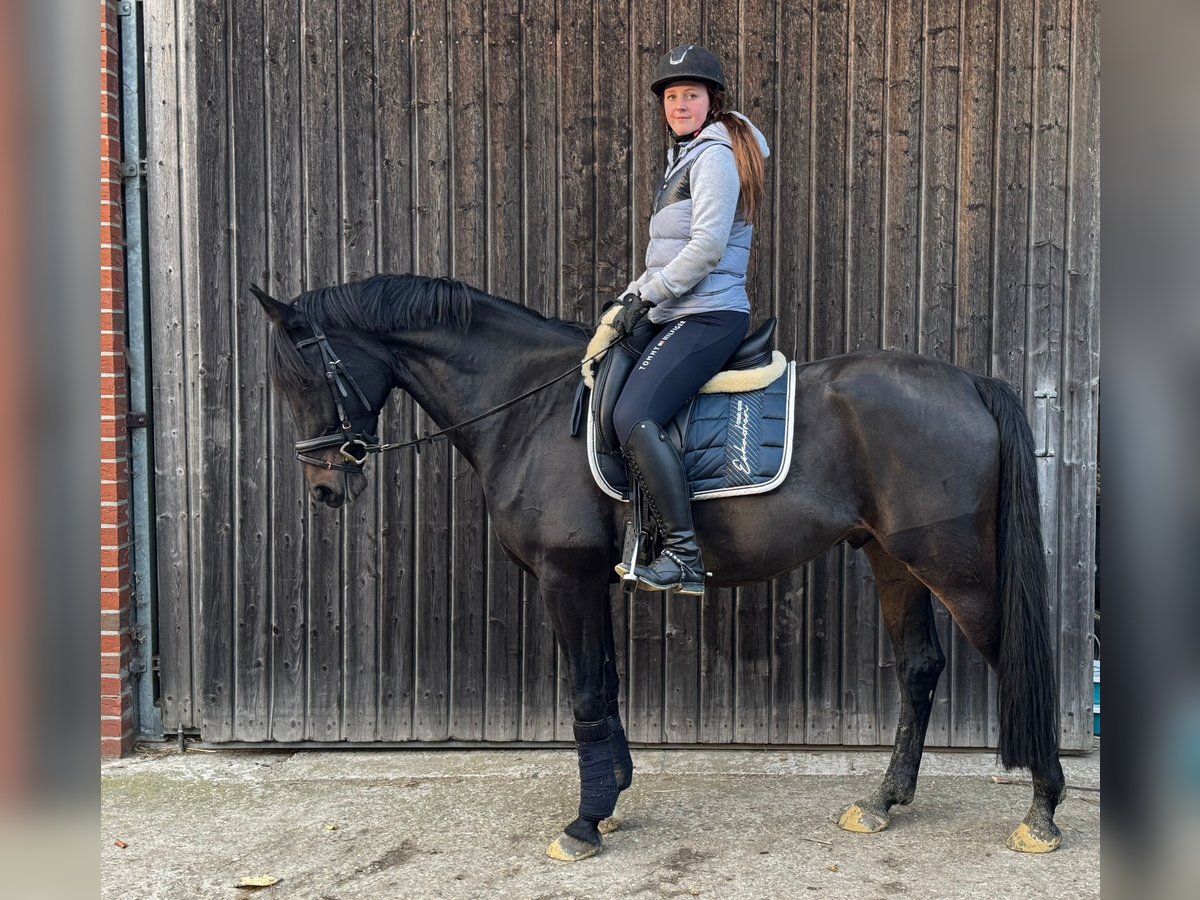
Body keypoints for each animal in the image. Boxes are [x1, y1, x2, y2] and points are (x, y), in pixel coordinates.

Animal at [253, 273, 1070, 859]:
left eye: (307, 378)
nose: (325, 489)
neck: (526, 410)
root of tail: (966, 383)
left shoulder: (565, 578)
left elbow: (586, 693)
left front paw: (584, 824)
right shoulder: (592, 581)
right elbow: (607, 687)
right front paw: (612, 797)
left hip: (953, 566)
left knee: (1017, 661)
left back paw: (1043, 811)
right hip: (893, 559)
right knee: (920, 668)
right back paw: (883, 802)